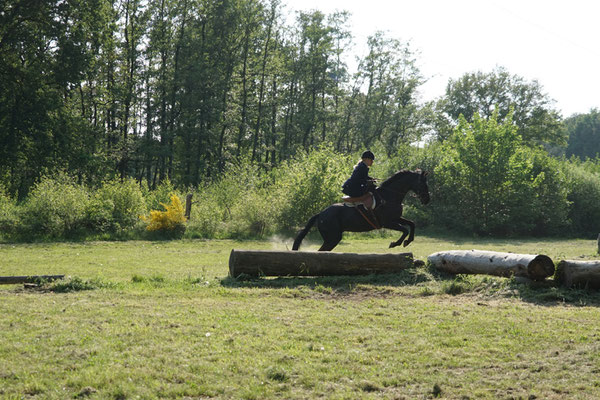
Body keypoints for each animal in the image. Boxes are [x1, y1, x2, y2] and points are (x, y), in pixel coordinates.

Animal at [292, 170, 428, 252]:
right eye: (423, 184)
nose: (427, 200)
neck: (389, 196)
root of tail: (321, 214)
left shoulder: (395, 219)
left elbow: (411, 224)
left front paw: (408, 241)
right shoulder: (387, 223)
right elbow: (405, 230)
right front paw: (395, 243)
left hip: (332, 238)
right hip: (333, 238)